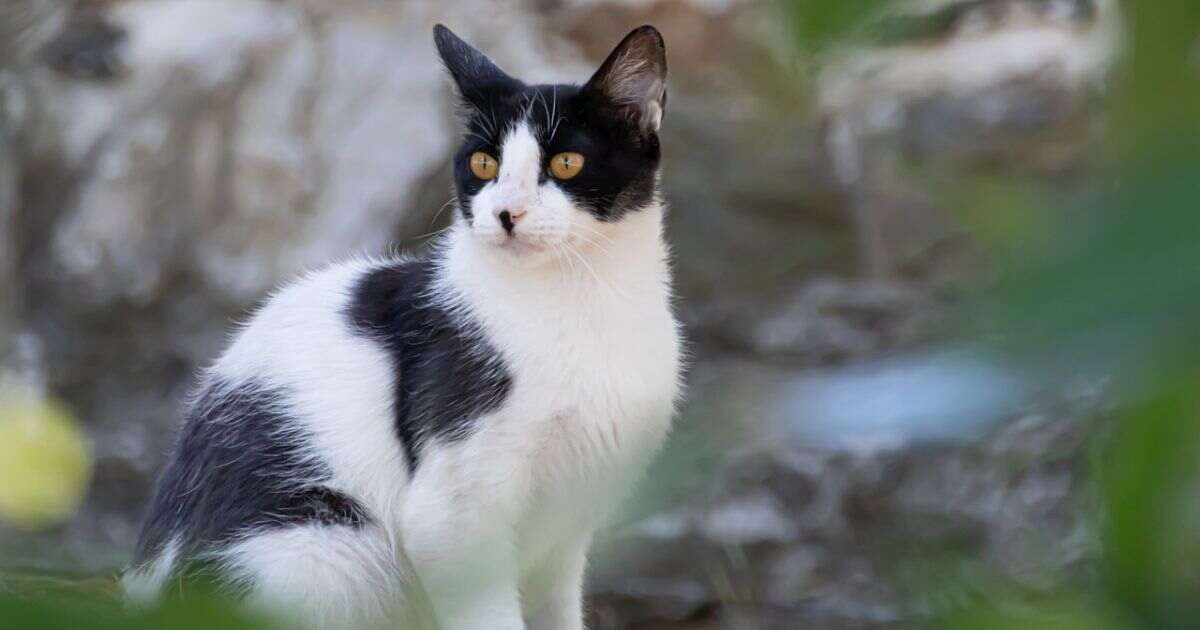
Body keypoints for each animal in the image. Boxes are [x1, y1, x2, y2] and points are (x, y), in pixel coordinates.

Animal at [123, 22, 686, 624]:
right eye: (484, 164)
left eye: (566, 164)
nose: (505, 213)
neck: (580, 297)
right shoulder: (451, 519)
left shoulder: (564, 534)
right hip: (324, 546)